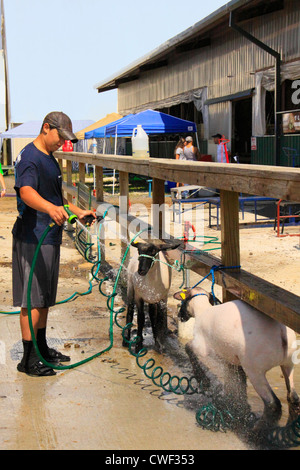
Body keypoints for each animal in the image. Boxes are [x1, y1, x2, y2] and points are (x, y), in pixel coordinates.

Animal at [173, 284, 300, 432]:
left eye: (182, 301)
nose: (180, 316)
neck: (202, 309)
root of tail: (281, 334)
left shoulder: (202, 346)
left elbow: (188, 348)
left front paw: (203, 380)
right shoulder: (231, 357)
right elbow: (237, 378)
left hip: (255, 370)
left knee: (273, 403)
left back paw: (256, 429)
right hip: (288, 363)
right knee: (293, 396)